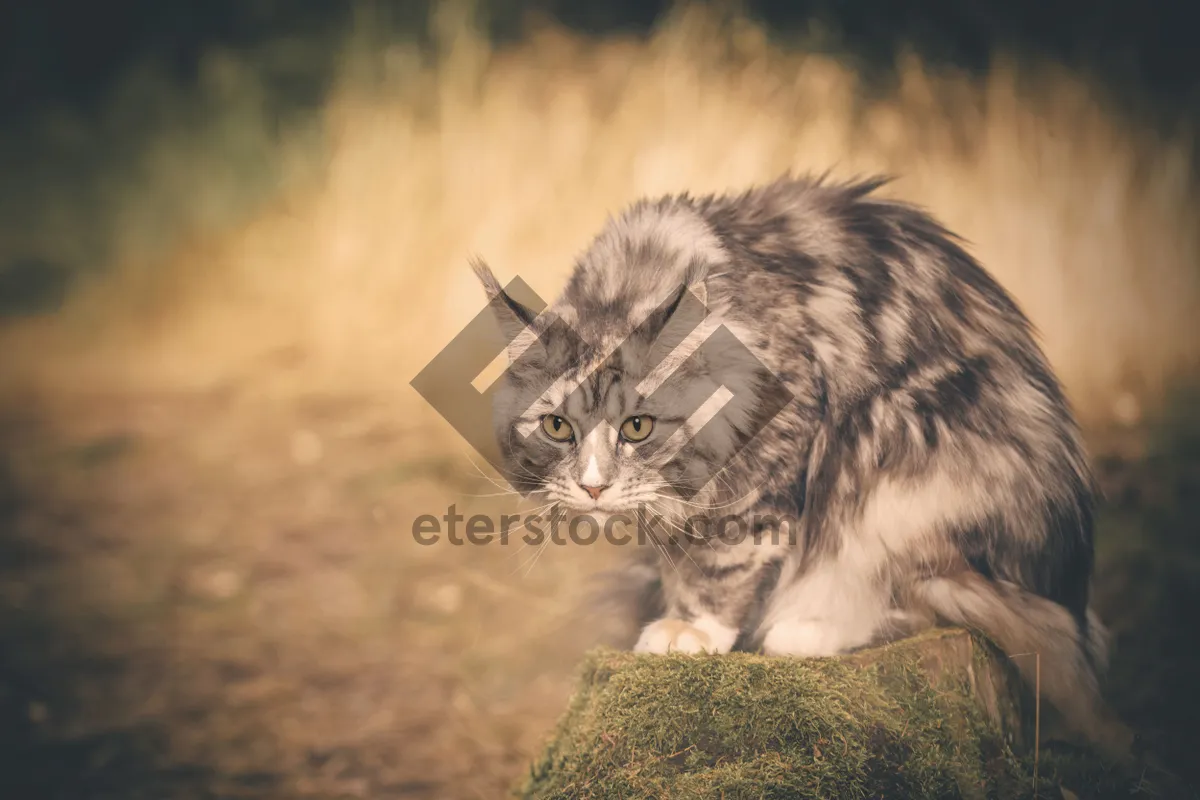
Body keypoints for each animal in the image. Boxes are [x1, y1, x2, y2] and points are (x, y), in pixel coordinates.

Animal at [472, 175, 1128, 758]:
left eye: (638, 427)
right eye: (558, 427)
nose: (593, 487)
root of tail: (1072, 590)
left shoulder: (776, 450)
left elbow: (725, 560)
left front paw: (693, 629)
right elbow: (680, 560)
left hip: (903, 455)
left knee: (923, 593)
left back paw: (807, 628)